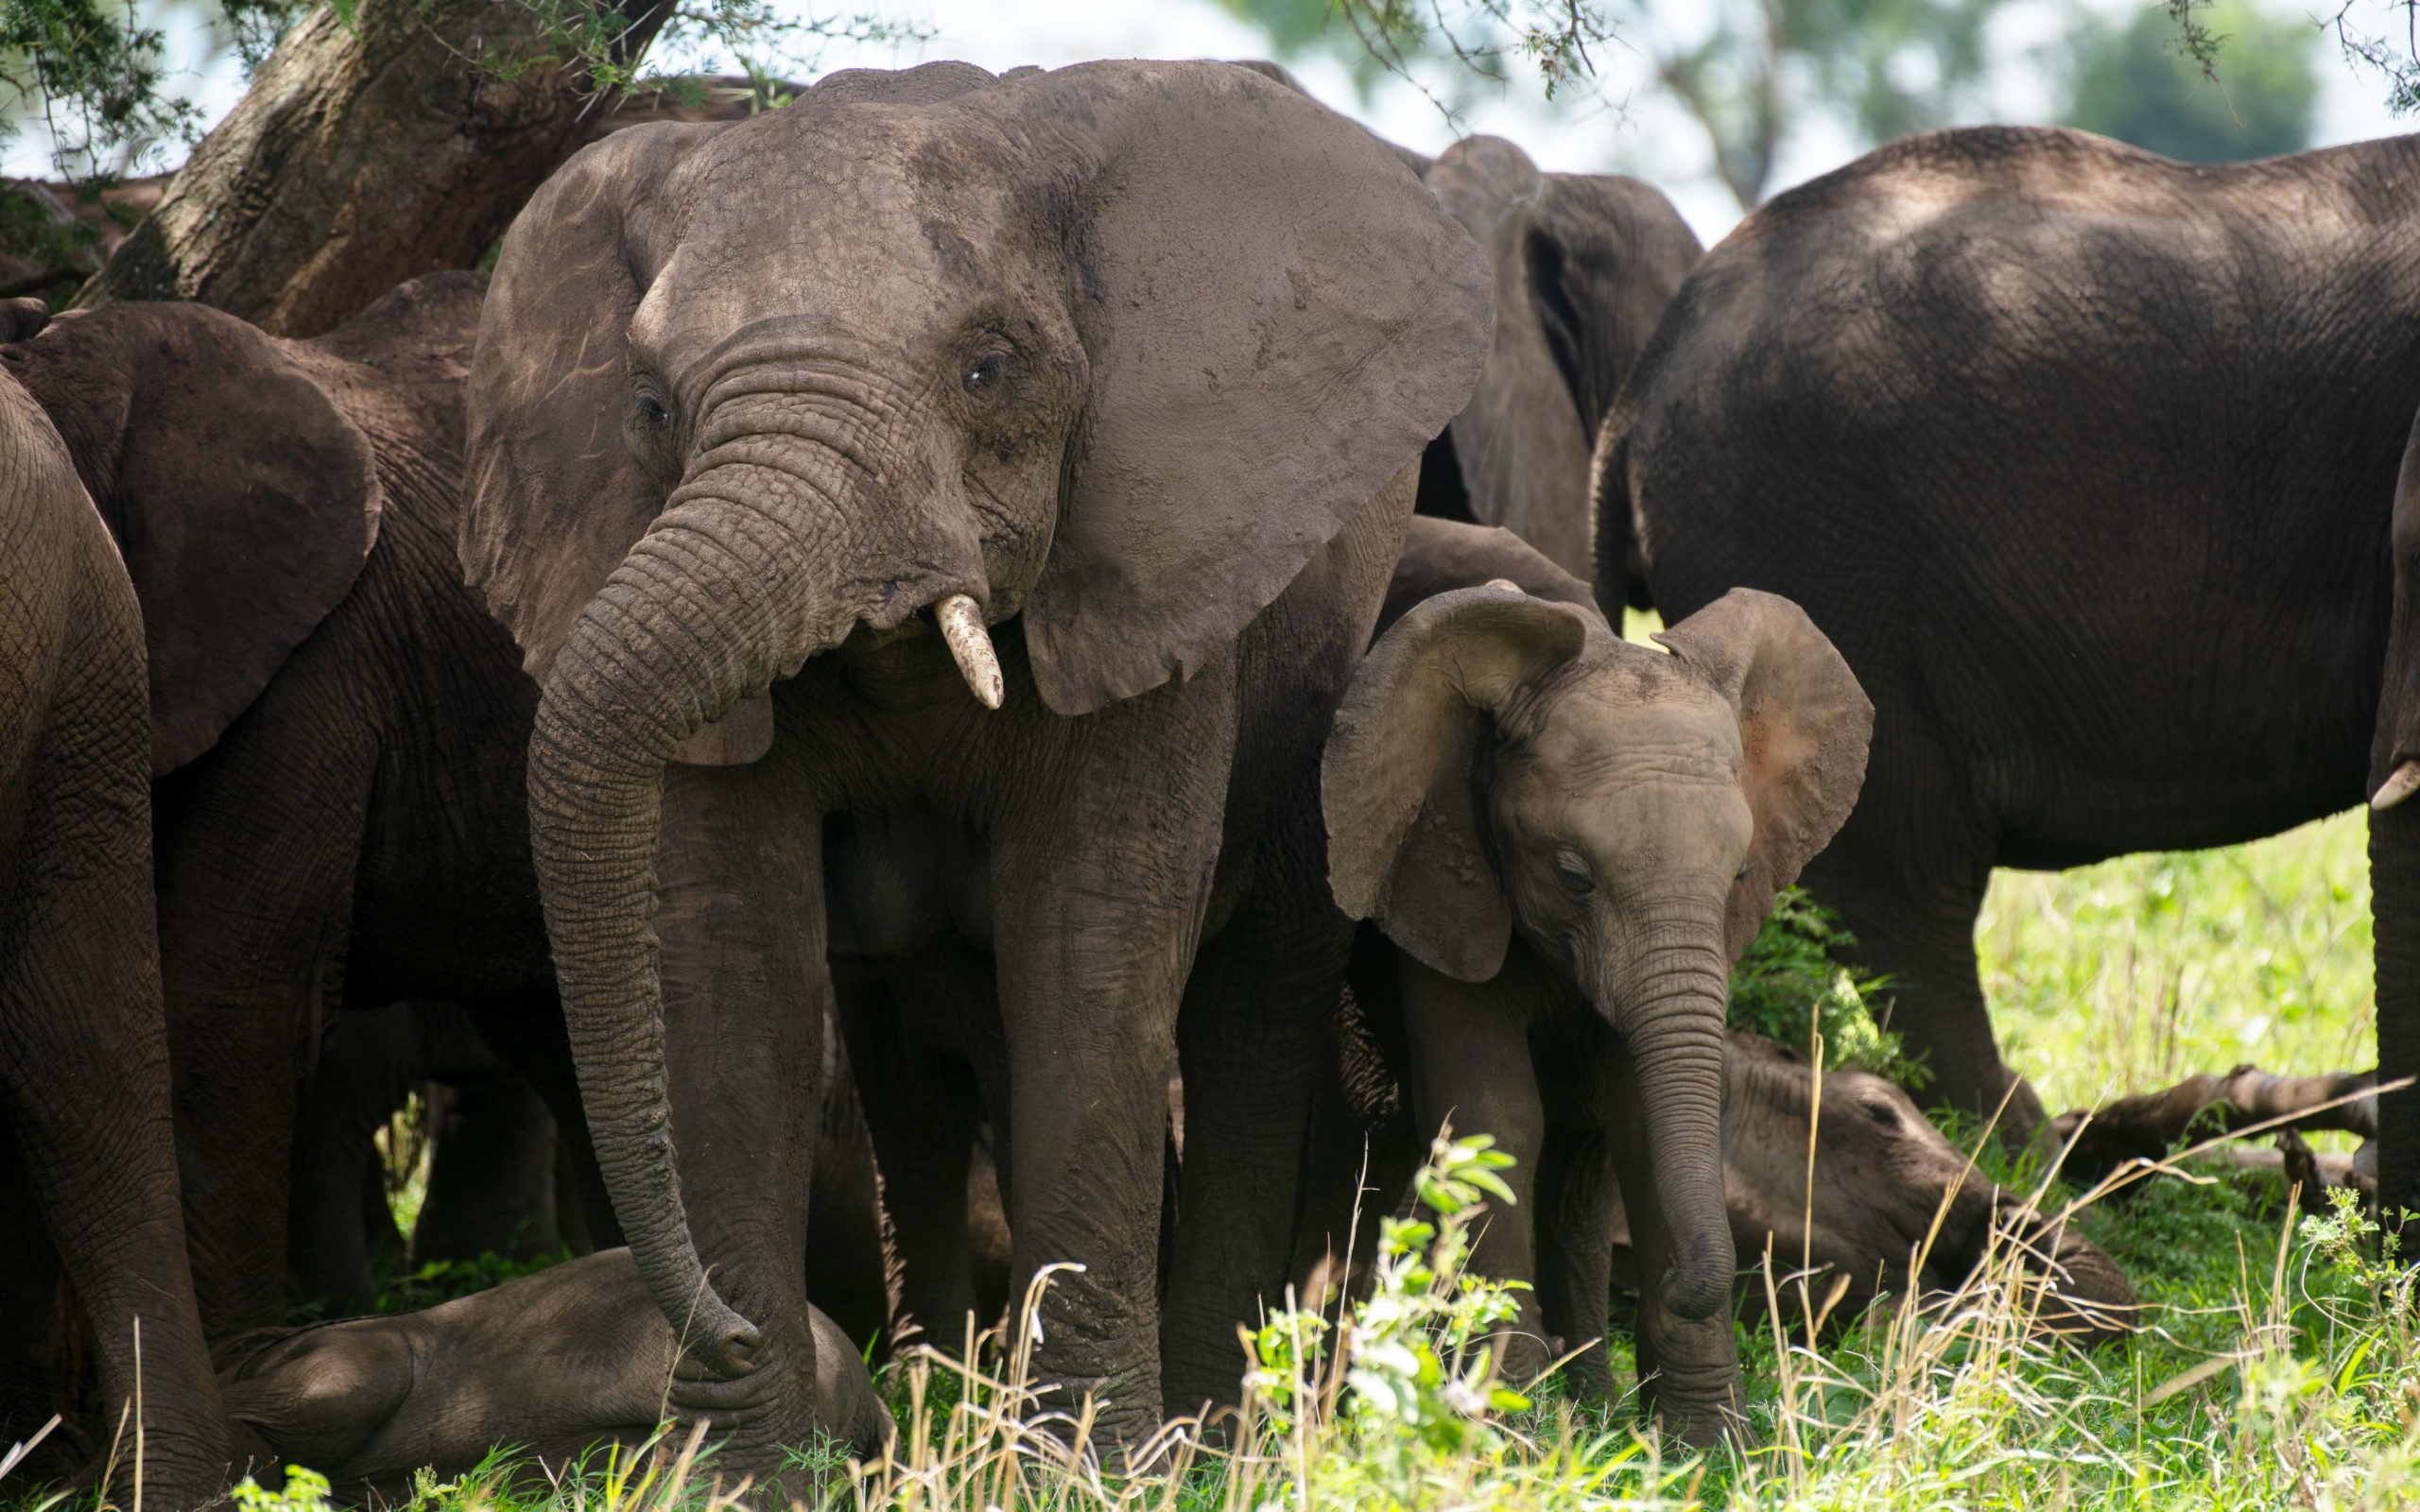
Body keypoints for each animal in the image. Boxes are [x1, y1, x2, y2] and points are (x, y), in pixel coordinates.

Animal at [447, 61, 1480, 1461]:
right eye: (652, 406)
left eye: (990, 369)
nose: (722, 1329)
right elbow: (726, 956)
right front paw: (735, 1474)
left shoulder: (1148, 571)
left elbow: (1089, 947)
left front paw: (1099, 1470)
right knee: (914, 1069)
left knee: (1252, 1015)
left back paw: (1210, 1433)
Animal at [1306, 517, 1868, 1441]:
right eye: (1573, 875)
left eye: (1740, 875)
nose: (1674, 1284)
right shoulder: (1439, 866)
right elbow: (1494, 1114)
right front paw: (1510, 1425)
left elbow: (1639, 1116)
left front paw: (1707, 1443)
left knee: (1582, 1164)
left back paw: (1592, 1396)